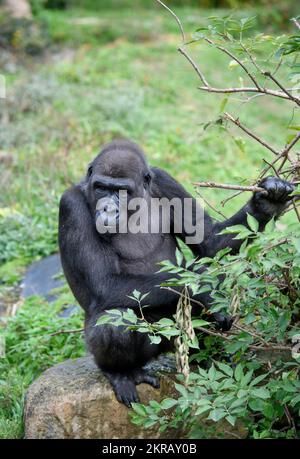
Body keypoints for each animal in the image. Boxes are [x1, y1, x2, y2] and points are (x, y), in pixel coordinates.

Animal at [58, 139, 292, 406]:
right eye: (101, 188)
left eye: (121, 191)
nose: (107, 208)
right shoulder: (71, 204)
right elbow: (105, 283)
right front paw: (204, 288)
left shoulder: (163, 180)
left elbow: (210, 242)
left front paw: (267, 203)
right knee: (114, 322)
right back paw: (121, 372)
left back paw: (209, 356)